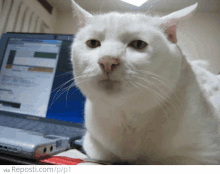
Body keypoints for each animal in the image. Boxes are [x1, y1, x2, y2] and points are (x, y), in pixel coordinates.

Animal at [70, 0, 220, 164]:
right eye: (93, 43)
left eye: (138, 44)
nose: (107, 61)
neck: (127, 118)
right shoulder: (93, 145)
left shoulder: (201, 156)